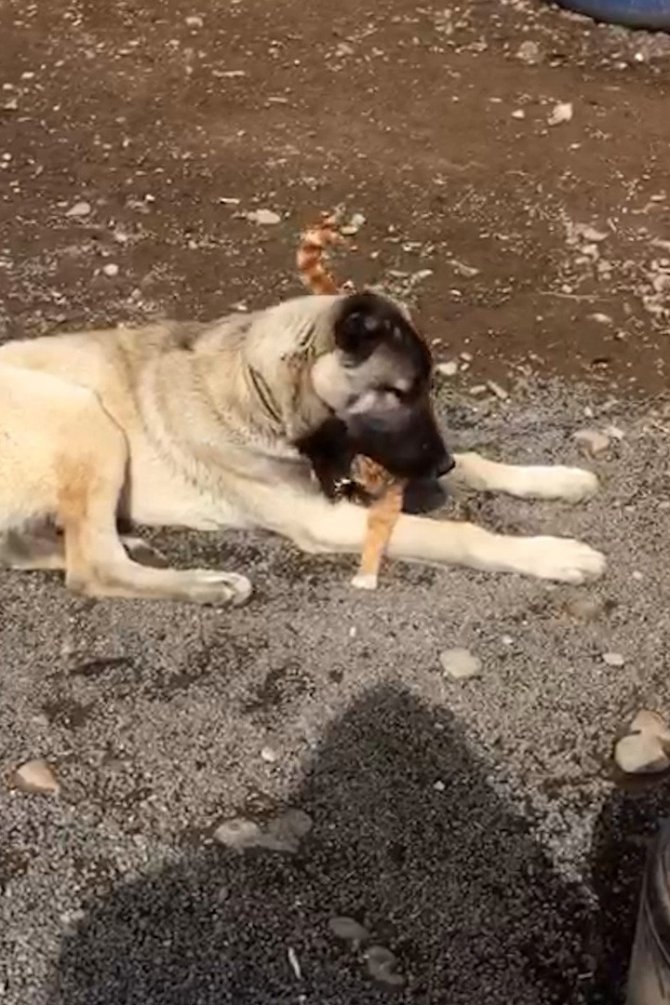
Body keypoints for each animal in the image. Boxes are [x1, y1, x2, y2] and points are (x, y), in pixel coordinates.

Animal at [0, 291, 606, 603]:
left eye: (428, 388)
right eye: (400, 391)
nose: (441, 462)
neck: (260, 393)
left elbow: (480, 464)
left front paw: (551, 478)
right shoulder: (328, 519)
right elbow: (456, 534)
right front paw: (552, 554)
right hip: (86, 416)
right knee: (91, 568)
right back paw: (206, 584)